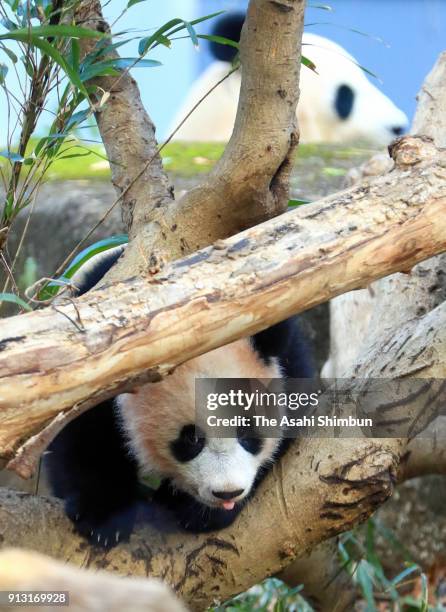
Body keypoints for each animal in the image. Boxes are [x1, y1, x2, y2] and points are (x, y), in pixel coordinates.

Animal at [44, 244, 310, 548]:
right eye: (191, 438)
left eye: (245, 431)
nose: (227, 493)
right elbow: (82, 435)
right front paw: (104, 516)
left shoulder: (288, 360)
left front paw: (195, 511)